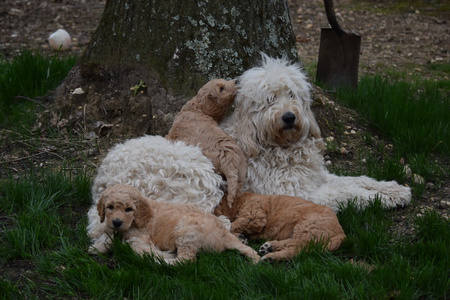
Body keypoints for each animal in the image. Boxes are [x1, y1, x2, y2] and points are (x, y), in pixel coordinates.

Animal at [89, 184, 260, 264]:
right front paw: (97, 247)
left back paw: (164, 261)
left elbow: (138, 250)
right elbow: (107, 234)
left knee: (186, 260)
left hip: (186, 230)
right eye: (110, 207)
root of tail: (224, 234)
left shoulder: (140, 239)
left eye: (129, 209)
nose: (117, 222)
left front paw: (158, 255)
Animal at [214, 192, 344, 260]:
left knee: (298, 246)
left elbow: (233, 224)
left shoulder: (254, 217)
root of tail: (341, 232)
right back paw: (270, 250)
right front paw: (240, 237)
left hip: (308, 226)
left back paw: (270, 252)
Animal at [221, 54, 412, 213]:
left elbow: (354, 180)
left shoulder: (317, 176)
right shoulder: (296, 193)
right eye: (270, 99)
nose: (289, 117)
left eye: (291, 94)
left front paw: (393, 189)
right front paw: (380, 198)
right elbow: (346, 191)